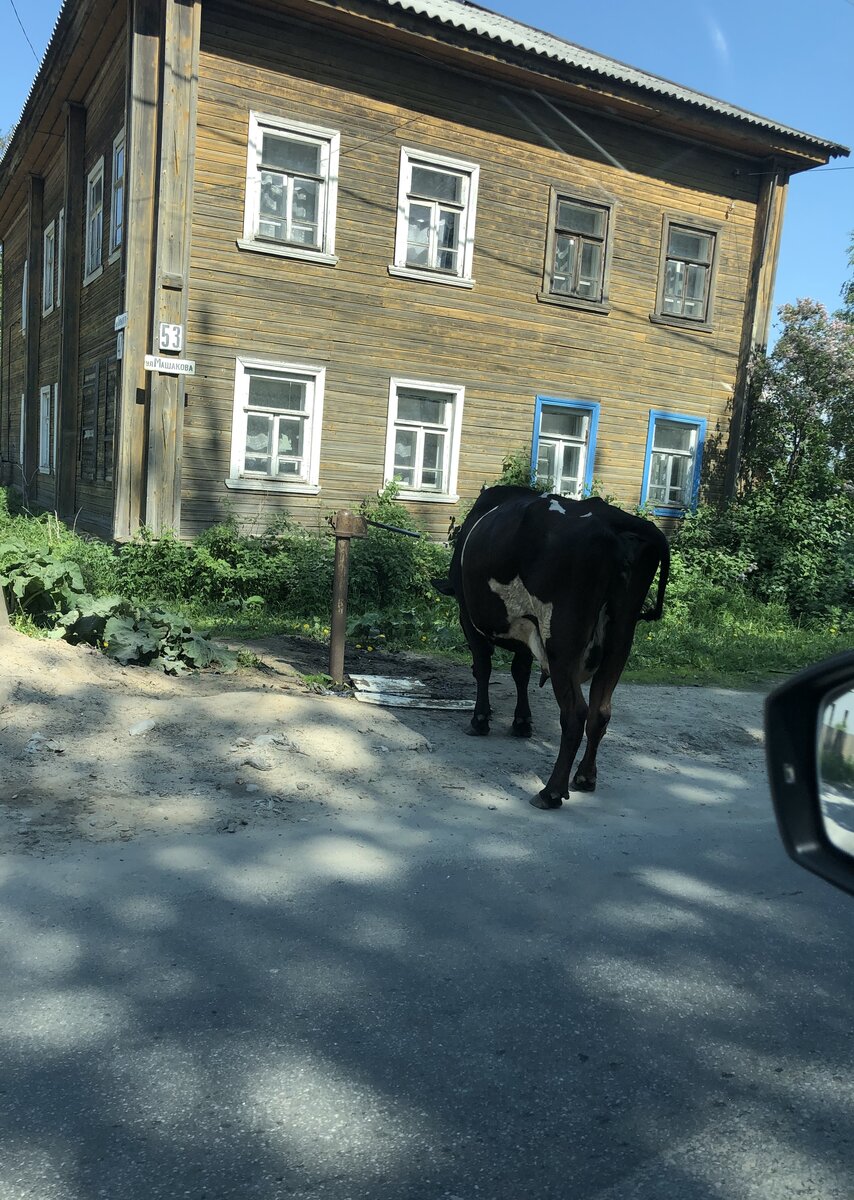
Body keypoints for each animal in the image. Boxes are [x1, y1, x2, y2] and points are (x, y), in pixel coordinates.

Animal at [436, 484, 671, 806]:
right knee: (600, 710)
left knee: (575, 714)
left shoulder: (468, 617)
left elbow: (483, 667)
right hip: (621, 636)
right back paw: (585, 777)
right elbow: (520, 671)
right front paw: (522, 721)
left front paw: (480, 720)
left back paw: (551, 792)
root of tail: (615, 520)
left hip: (562, 639)